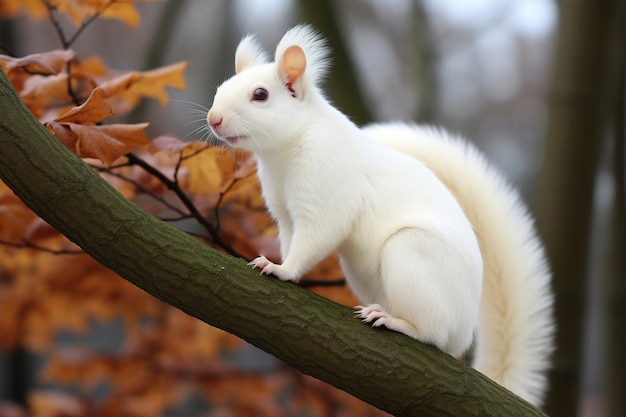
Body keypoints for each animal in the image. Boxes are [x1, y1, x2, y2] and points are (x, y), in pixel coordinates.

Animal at [207, 24, 552, 404]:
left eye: (260, 95)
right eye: (221, 88)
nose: (213, 119)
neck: (282, 152)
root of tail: (465, 330)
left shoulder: (326, 192)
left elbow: (317, 235)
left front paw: (283, 270)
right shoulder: (283, 212)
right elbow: (288, 237)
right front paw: (279, 263)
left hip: (411, 255)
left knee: (433, 334)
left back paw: (394, 322)